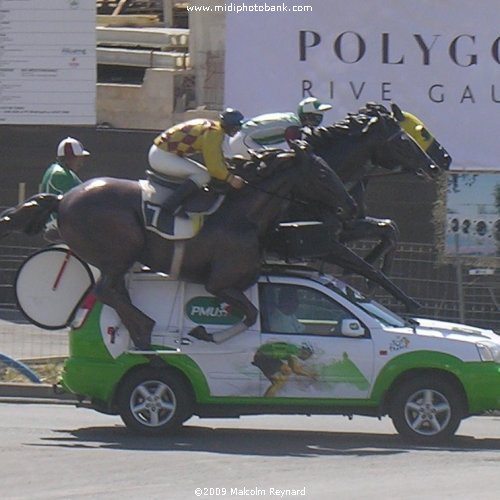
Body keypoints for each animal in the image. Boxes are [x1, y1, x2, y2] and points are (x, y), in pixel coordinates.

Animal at [0, 145, 360, 348]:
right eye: (323, 175)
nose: (351, 207)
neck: (242, 213)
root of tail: (63, 198)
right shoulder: (220, 283)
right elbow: (250, 313)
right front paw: (205, 334)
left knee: (114, 291)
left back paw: (139, 327)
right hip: (118, 251)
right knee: (105, 289)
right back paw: (143, 327)